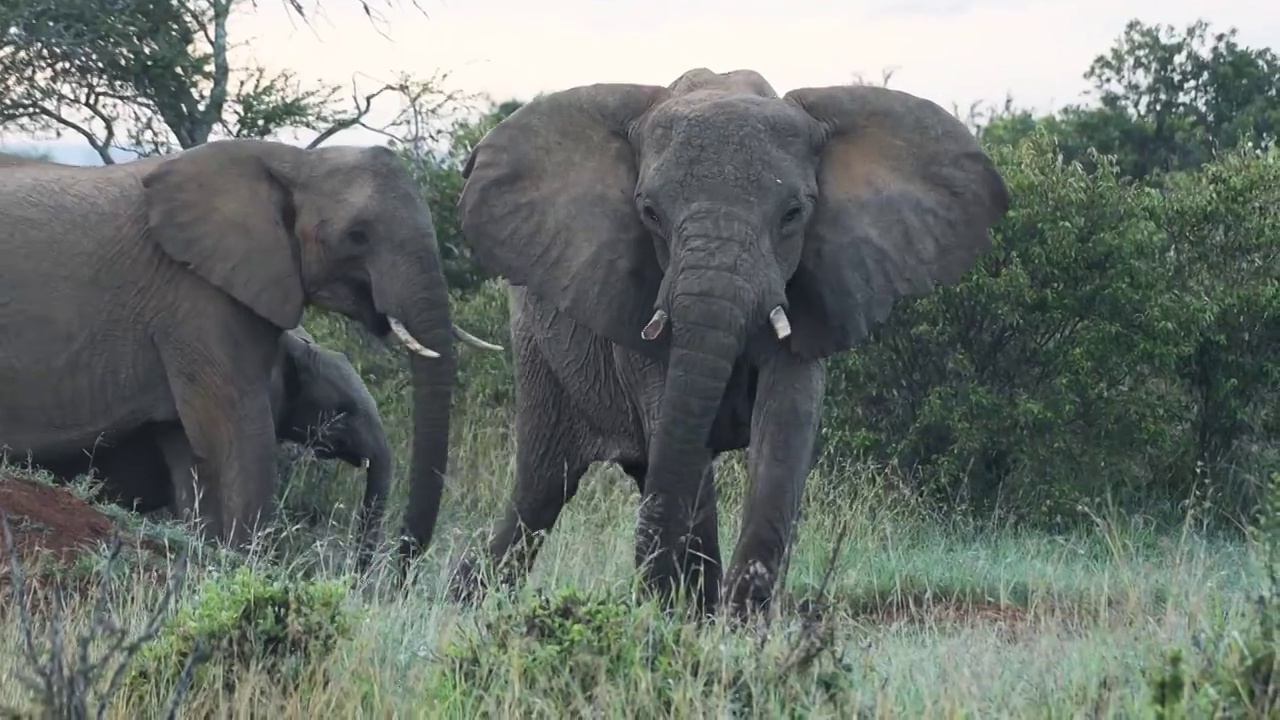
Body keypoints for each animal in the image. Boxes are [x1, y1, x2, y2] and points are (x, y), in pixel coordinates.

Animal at [0, 139, 499, 556]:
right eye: (358, 235)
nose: (392, 569)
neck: (294, 161)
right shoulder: (194, 297)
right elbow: (240, 431)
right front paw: (247, 567)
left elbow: (193, 449)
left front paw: (212, 555)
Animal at [450, 68, 1008, 617]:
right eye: (649, 213)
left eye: (793, 214)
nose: (641, 601)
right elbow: (677, 427)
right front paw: (695, 619)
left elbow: (784, 429)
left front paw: (740, 624)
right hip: (536, 349)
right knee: (543, 485)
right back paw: (462, 601)